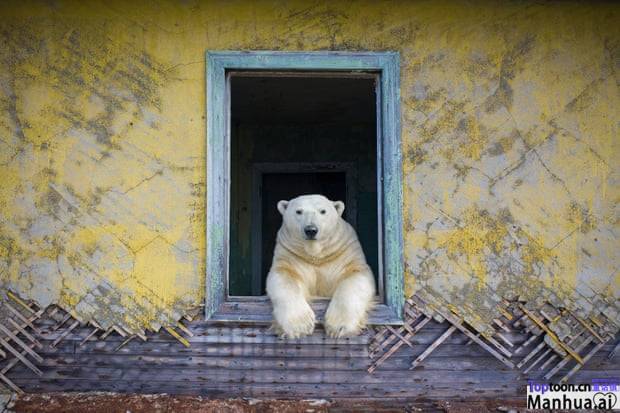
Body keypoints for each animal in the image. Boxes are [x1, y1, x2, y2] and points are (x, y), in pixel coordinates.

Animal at [266, 193, 376, 338]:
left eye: (323, 211)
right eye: (298, 211)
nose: (311, 230)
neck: (316, 256)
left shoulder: (344, 251)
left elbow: (355, 275)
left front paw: (339, 327)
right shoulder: (290, 254)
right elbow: (284, 277)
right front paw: (300, 326)